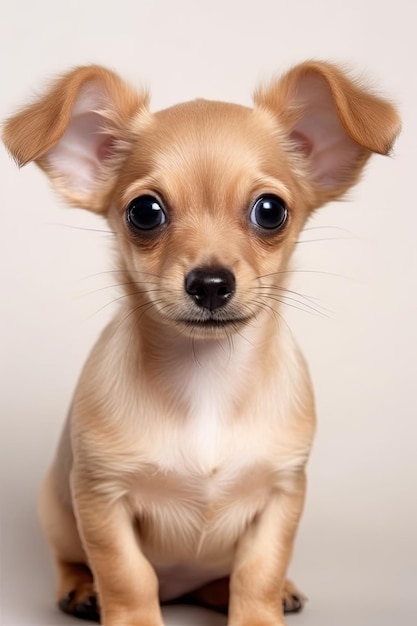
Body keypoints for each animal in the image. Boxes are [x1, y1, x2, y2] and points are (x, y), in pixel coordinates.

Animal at [2, 59, 400, 624]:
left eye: (270, 211)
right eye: (144, 212)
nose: (210, 283)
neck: (207, 379)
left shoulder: (282, 495)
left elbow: (258, 572)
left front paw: (259, 613)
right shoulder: (100, 497)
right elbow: (127, 575)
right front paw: (132, 617)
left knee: (227, 579)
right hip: (55, 512)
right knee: (73, 561)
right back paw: (82, 591)